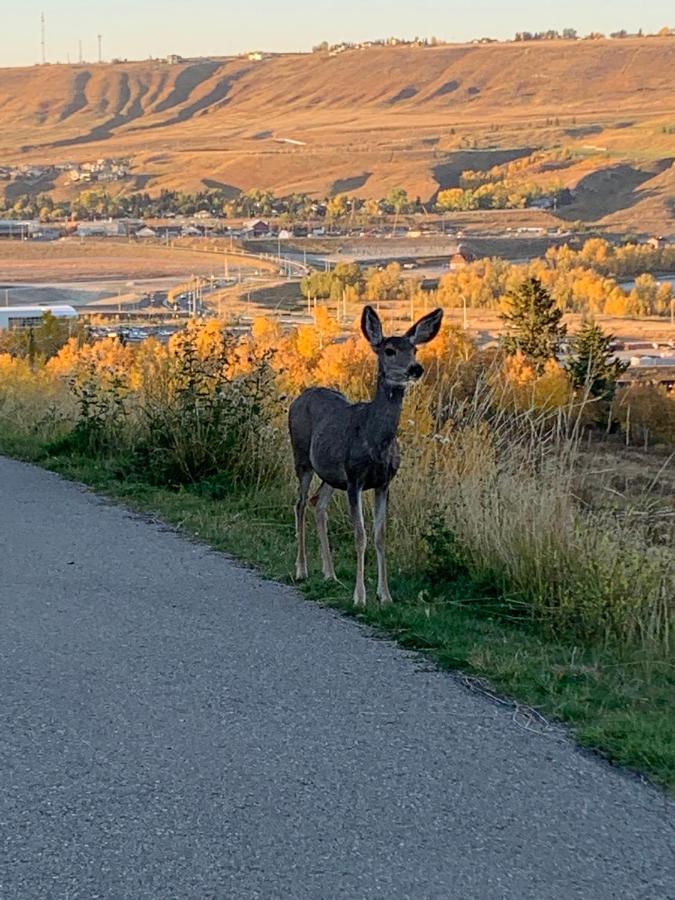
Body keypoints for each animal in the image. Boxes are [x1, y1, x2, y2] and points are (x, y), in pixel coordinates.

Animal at [290, 306, 444, 608]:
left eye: (414, 349)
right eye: (389, 350)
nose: (415, 369)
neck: (376, 440)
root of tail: (299, 397)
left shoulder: (384, 482)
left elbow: (380, 534)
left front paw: (385, 595)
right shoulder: (355, 479)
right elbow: (360, 534)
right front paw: (360, 597)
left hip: (331, 474)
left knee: (318, 503)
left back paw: (330, 574)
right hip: (302, 458)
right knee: (300, 503)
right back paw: (301, 569)